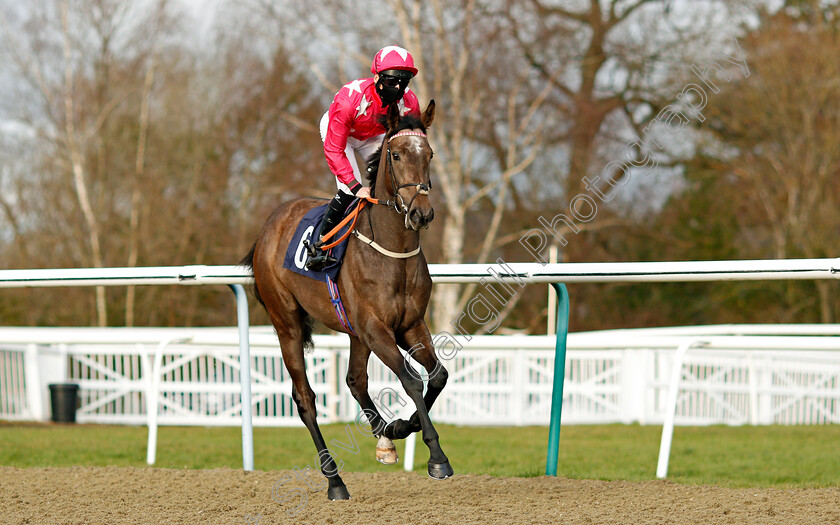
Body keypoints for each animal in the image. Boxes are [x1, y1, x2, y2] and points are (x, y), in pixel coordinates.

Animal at [243, 101, 452, 500]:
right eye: (397, 155)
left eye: (430, 154)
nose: (421, 213)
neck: (392, 253)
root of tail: (266, 229)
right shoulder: (376, 329)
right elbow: (411, 381)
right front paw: (437, 456)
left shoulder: (410, 325)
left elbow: (437, 376)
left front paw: (400, 427)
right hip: (287, 324)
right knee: (305, 399)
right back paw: (335, 480)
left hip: (353, 331)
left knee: (355, 380)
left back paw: (384, 438)